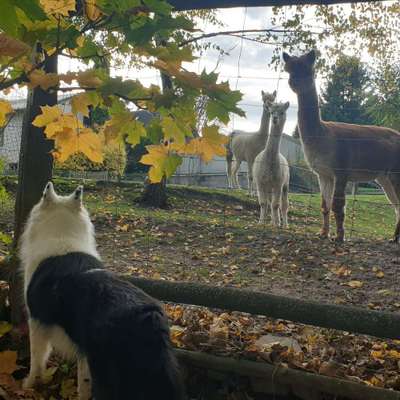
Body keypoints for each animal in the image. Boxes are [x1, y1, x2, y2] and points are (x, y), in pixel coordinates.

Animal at [19, 183, 185, 398]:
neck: (62, 237)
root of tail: (148, 315)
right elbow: (82, 384)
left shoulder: (37, 323)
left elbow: (36, 362)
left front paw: (28, 386)